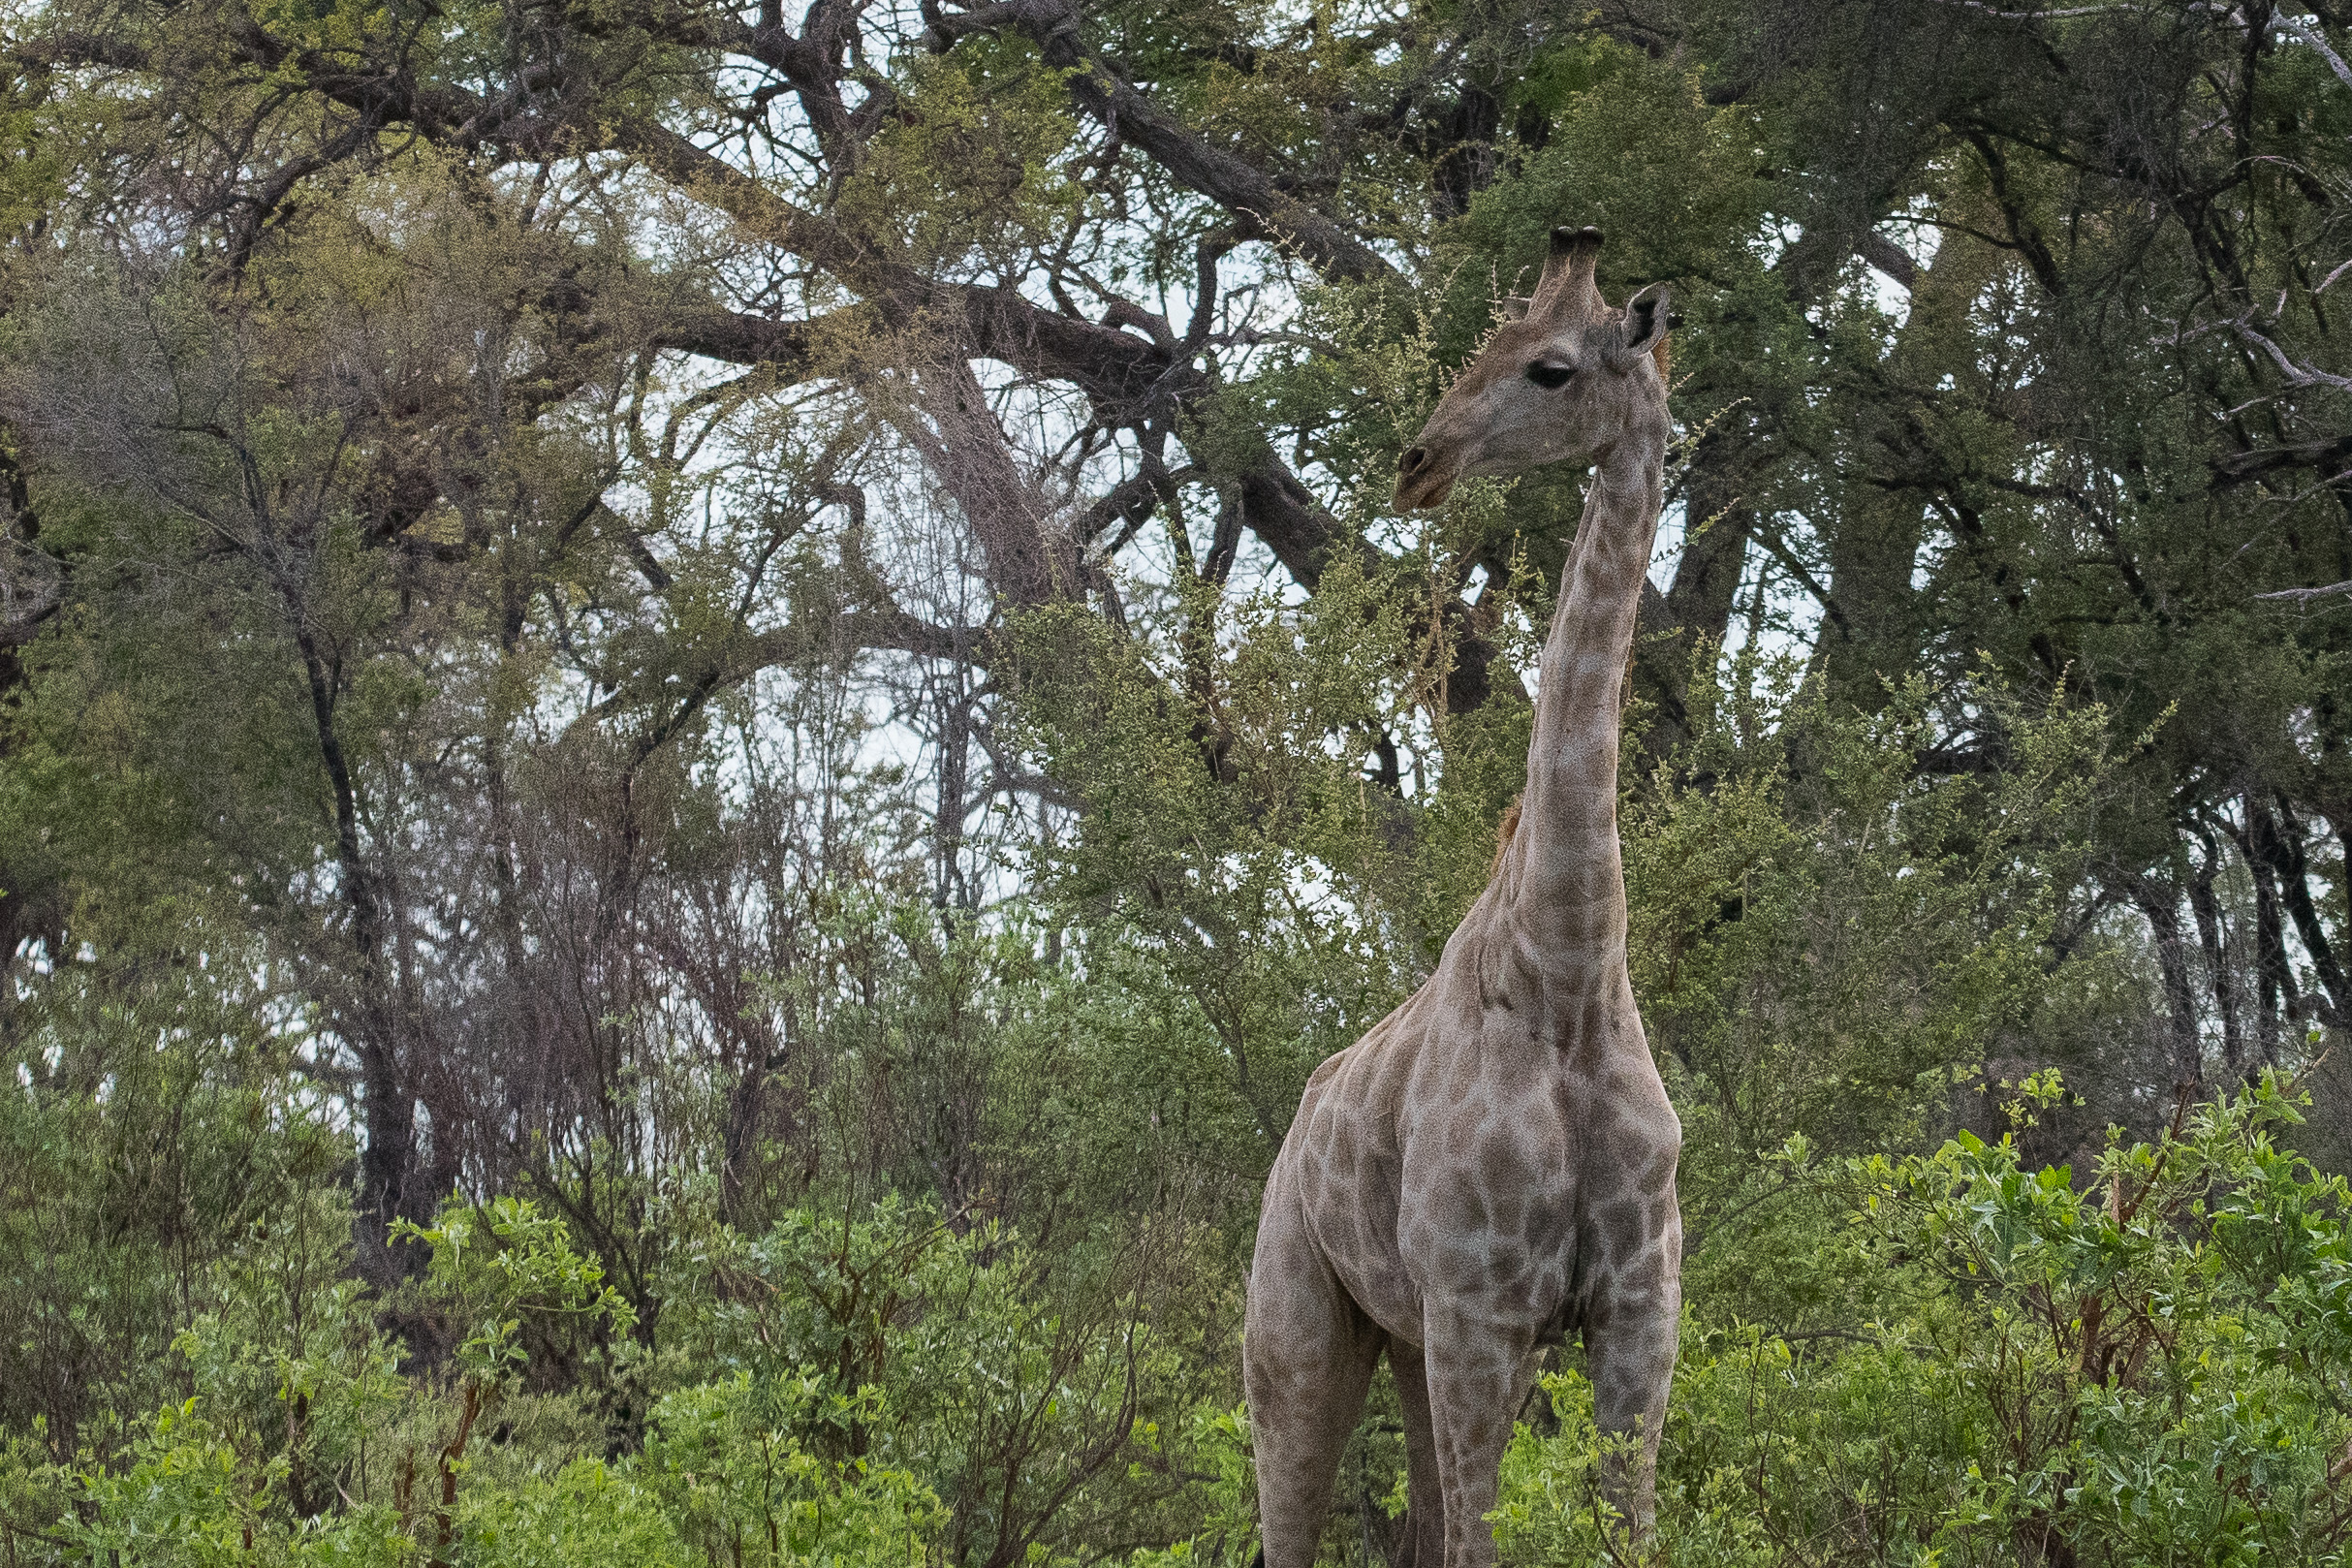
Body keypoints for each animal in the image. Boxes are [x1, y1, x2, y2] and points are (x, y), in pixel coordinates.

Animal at [1241, 223, 1683, 1568]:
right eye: (1484, 343)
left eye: (1549, 367)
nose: (1418, 463)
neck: (1572, 966)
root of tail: (1295, 1126)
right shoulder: (1481, 1310)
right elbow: (1487, 1541)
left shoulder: (1638, 1311)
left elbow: (1621, 1532)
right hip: (1301, 1330)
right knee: (1296, 1522)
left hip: (1402, 1337)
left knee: (1417, 1527)